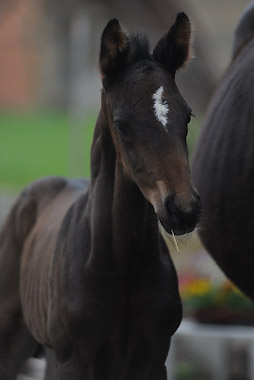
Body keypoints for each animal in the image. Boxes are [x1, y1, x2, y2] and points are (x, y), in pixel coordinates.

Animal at [0, 14, 199, 380]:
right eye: (122, 125)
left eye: (188, 116)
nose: (183, 208)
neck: (121, 263)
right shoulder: (74, 362)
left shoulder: (152, 361)